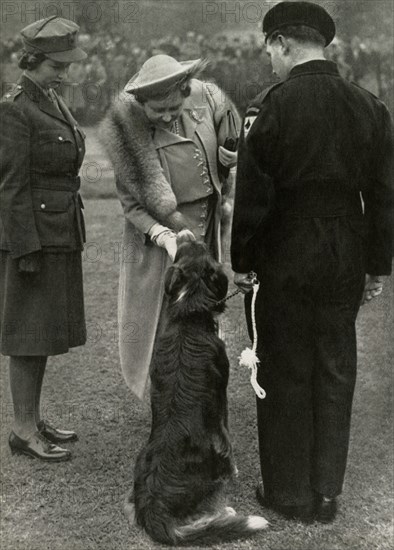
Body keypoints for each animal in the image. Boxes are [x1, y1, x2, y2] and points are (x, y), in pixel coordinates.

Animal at [126, 231, 268, 544]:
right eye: (204, 248)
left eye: (186, 249)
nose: (184, 232)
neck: (188, 313)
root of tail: (152, 504)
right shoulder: (221, 397)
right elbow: (226, 435)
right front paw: (235, 469)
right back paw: (226, 513)